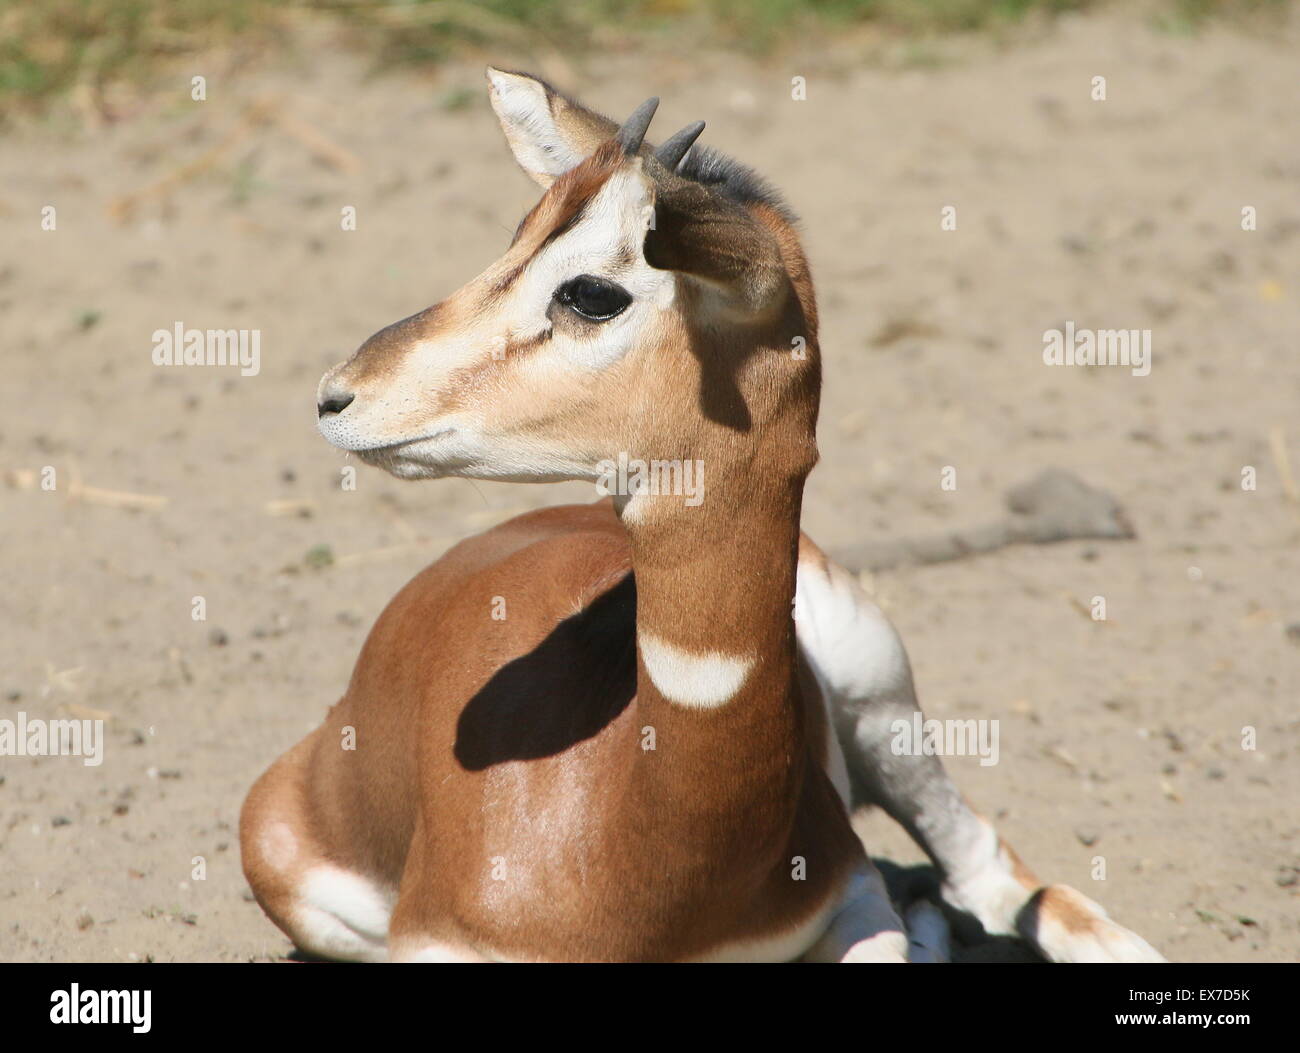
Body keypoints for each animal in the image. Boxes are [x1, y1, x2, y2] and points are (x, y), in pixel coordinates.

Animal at [239, 69, 1164, 963]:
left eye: (591, 293)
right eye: (515, 240)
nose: (338, 395)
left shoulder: (850, 891)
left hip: (881, 694)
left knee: (986, 870)